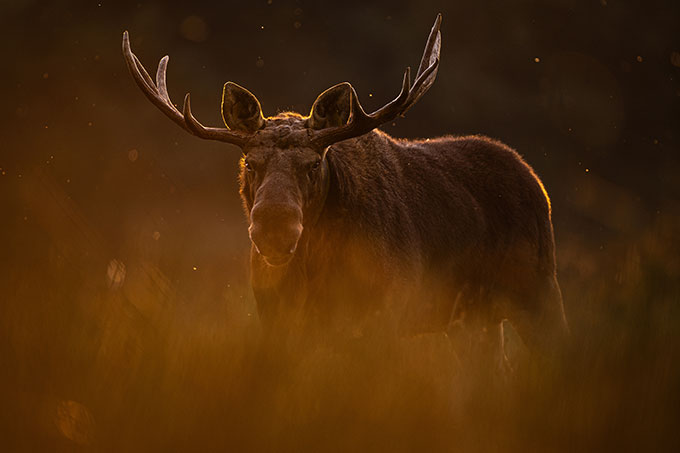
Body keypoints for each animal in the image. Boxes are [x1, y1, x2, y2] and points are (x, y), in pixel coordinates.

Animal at [121, 14, 568, 360]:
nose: (274, 230)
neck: (316, 269)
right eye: (250, 163)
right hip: (474, 317)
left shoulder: (387, 310)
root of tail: (534, 178)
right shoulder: (276, 318)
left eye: (313, 163)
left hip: (540, 289)